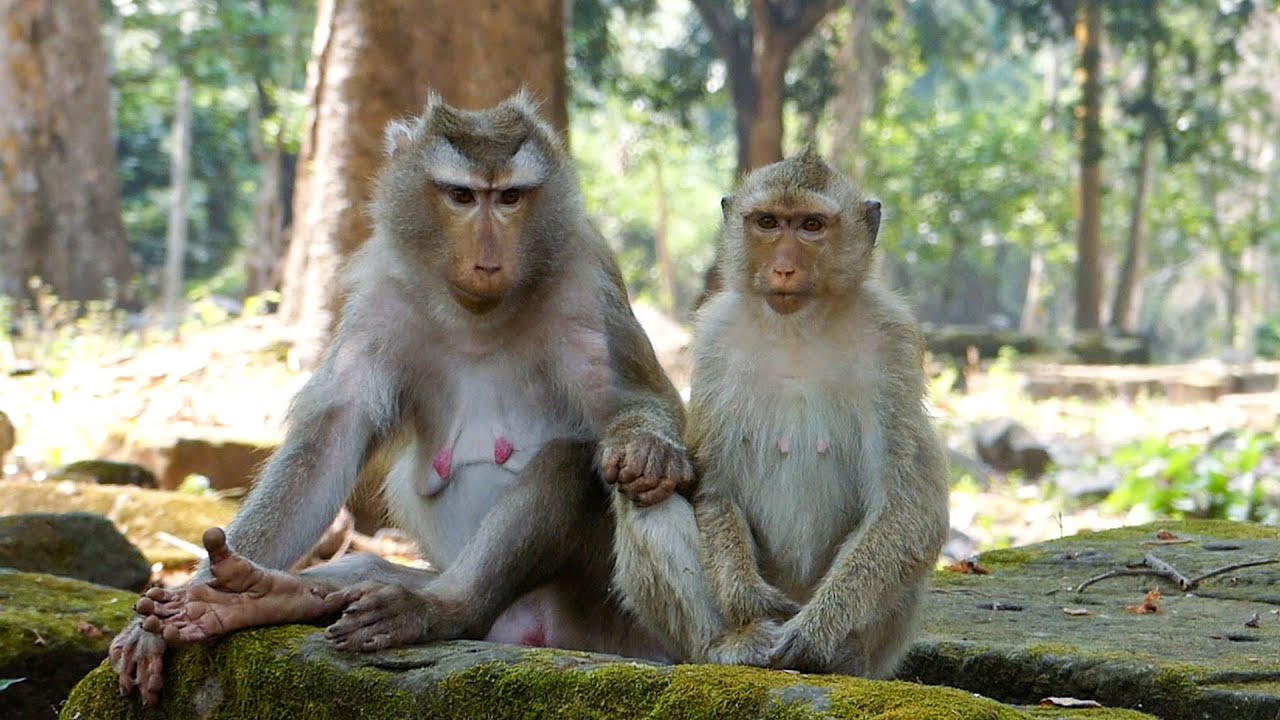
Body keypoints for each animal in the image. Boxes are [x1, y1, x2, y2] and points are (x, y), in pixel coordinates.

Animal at [108, 92, 693, 706]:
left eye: (509, 197)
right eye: (462, 196)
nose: (489, 256)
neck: (478, 313)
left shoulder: (585, 282)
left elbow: (630, 402)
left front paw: (648, 450)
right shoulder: (382, 299)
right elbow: (329, 443)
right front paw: (155, 626)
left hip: (612, 617)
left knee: (570, 460)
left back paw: (436, 610)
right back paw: (263, 597)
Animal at [610, 147, 949, 678]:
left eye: (811, 225)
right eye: (768, 222)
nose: (785, 269)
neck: (797, 330)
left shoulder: (891, 340)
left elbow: (909, 508)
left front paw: (816, 631)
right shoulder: (715, 341)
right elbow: (714, 487)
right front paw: (750, 601)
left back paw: (840, 656)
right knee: (645, 495)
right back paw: (729, 645)